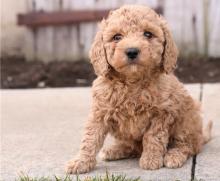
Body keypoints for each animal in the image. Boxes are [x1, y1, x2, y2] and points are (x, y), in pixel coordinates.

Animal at [66, 4, 212, 174]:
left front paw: (151, 159)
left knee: (187, 146)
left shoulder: (161, 113)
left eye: (148, 34)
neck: (132, 81)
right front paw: (80, 161)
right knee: (133, 147)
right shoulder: (100, 112)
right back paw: (114, 150)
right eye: (117, 37)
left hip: (187, 120)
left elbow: (153, 136)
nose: (132, 51)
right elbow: (90, 137)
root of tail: (201, 136)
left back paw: (173, 156)